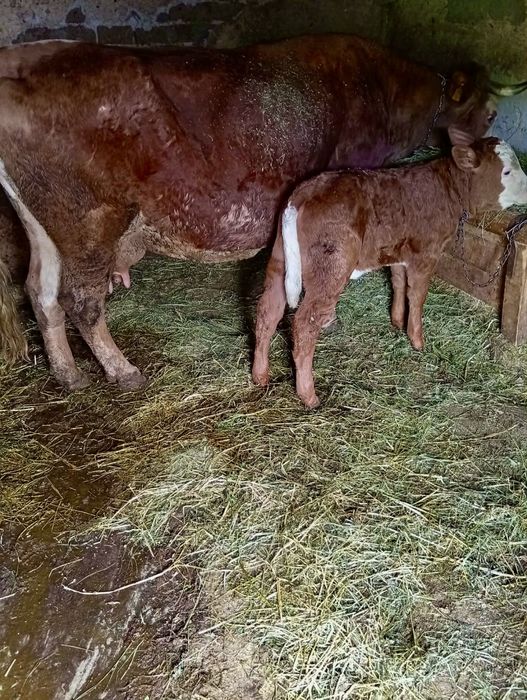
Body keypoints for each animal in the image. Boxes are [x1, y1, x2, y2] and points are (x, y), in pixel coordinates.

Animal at [0, 35, 501, 389]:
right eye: (494, 113)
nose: (479, 148)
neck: (381, 90)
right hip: (90, 219)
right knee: (80, 300)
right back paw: (123, 372)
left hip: (43, 224)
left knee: (40, 291)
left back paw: (69, 375)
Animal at [251, 138, 527, 407]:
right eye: (506, 171)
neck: (446, 189)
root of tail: (304, 192)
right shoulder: (426, 254)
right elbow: (417, 296)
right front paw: (417, 340)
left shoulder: (399, 253)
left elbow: (398, 283)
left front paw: (396, 320)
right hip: (330, 267)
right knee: (304, 323)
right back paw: (308, 395)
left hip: (279, 260)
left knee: (268, 311)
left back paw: (260, 375)